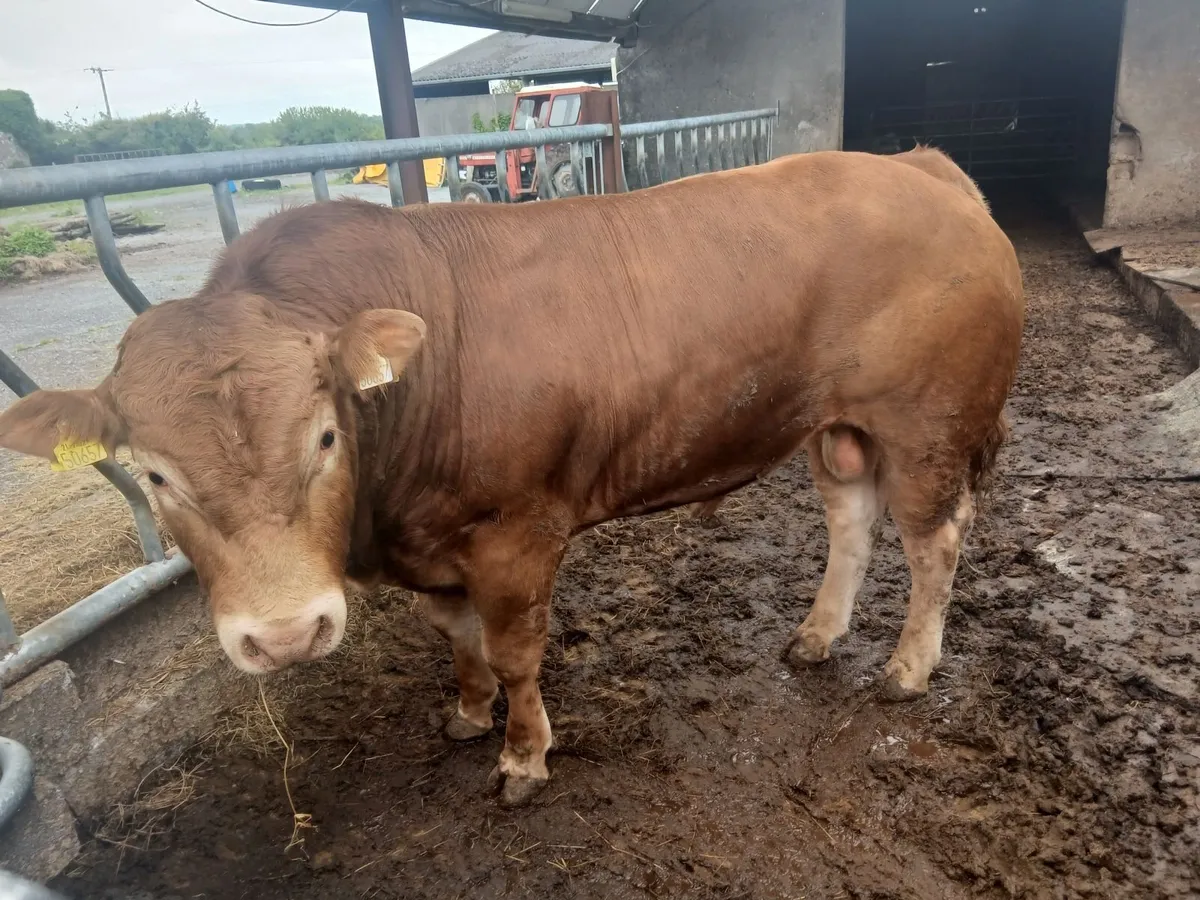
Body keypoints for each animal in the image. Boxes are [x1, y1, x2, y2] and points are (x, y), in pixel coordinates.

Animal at [0, 149, 1025, 807]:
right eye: (153, 473)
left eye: (325, 436)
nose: (287, 635)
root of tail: (920, 165)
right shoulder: (433, 544)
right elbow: (457, 640)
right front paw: (466, 713)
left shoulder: (517, 533)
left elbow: (517, 651)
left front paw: (524, 759)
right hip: (839, 426)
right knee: (851, 519)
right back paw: (817, 637)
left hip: (929, 426)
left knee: (934, 540)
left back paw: (907, 668)